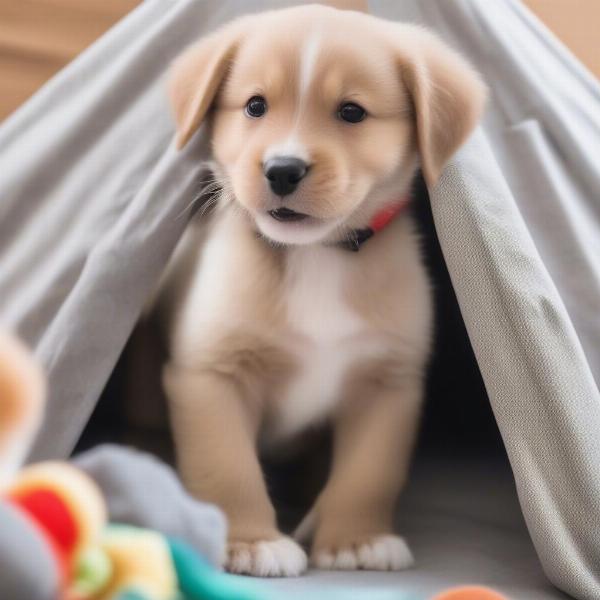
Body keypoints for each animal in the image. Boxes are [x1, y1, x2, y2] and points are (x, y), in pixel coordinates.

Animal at [157, 3, 486, 576]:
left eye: (351, 112)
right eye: (255, 105)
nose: (282, 170)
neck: (317, 257)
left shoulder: (387, 383)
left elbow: (368, 475)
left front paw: (357, 539)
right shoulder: (210, 374)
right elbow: (226, 468)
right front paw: (249, 542)